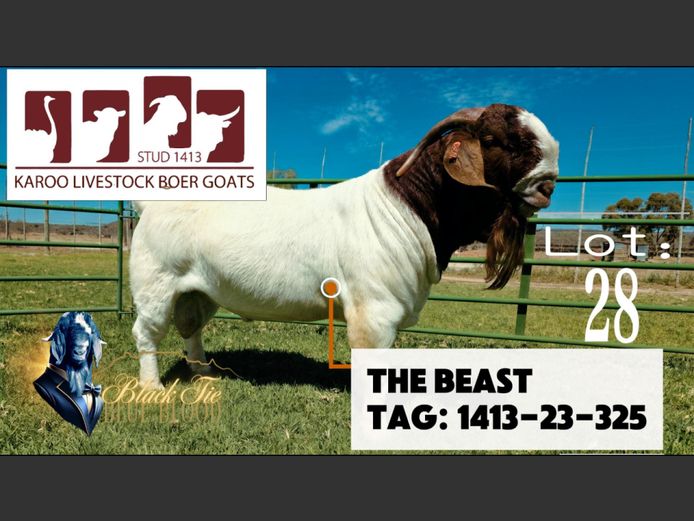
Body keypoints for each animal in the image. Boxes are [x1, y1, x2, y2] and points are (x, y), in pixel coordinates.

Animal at [130, 103, 559, 389]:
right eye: (493, 139)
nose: (549, 184)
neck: (407, 207)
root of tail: (149, 204)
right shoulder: (376, 310)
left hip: (199, 289)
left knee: (190, 326)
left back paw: (203, 371)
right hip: (156, 284)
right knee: (146, 332)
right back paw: (152, 388)